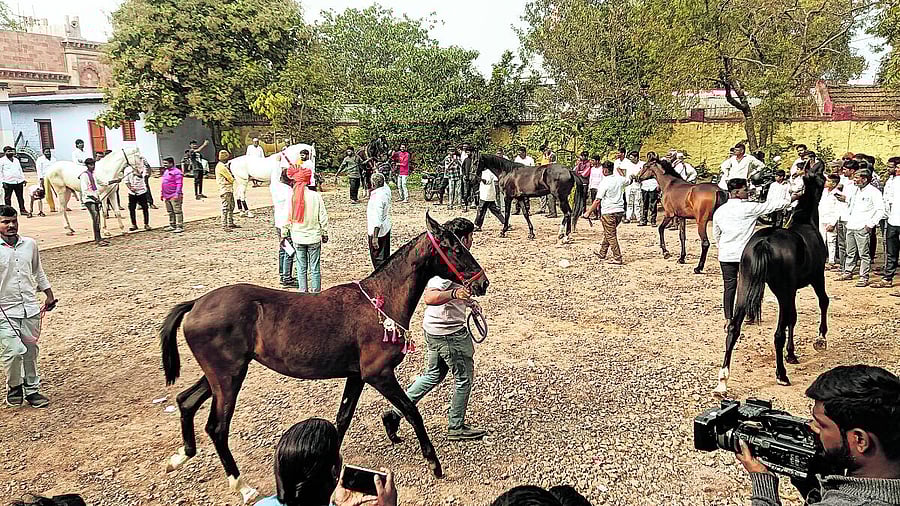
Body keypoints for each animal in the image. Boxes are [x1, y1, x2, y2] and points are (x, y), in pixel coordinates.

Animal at [159, 212, 489, 504]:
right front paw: (434, 464)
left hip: (221, 374)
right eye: (455, 248)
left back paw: (180, 457)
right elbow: (411, 411)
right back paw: (242, 486)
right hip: (228, 377)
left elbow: (342, 419)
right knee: (217, 428)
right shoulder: (378, 374)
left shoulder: (356, 376)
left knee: (186, 401)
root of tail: (196, 303)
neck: (379, 303)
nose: (482, 283)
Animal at [713, 173, 828, 394]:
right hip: (783, 291)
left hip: (746, 287)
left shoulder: (792, 290)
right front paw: (820, 339)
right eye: (822, 178)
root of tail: (764, 242)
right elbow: (822, 303)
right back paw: (781, 375)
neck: (806, 224)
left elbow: (793, 318)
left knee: (733, 328)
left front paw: (791, 354)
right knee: (777, 334)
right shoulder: (817, 277)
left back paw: (722, 381)